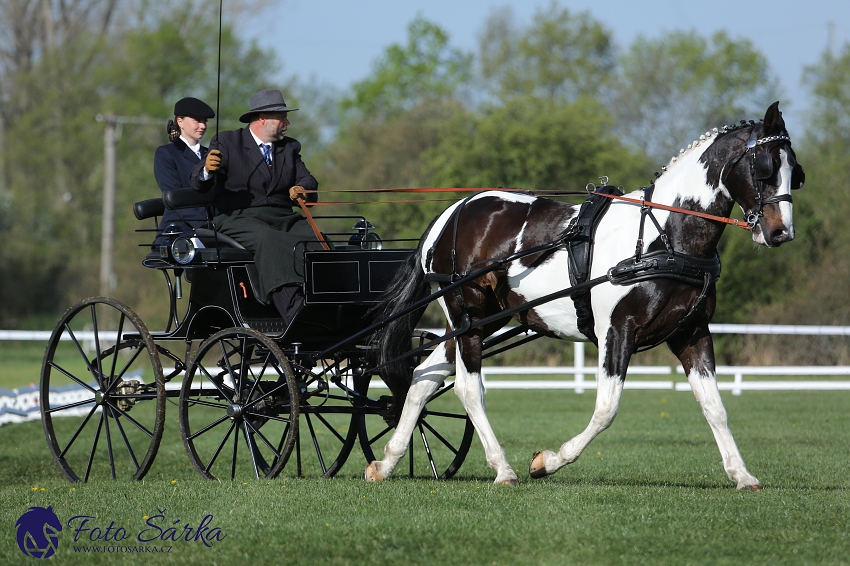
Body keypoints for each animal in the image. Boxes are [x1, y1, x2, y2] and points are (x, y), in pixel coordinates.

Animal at [364, 103, 800, 492]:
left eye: (794, 172)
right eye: (763, 167)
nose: (781, 233)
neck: (664, 236)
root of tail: (453, 212)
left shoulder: (691, 333)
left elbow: (716, 408)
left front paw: (741, 475)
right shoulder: (617, 331)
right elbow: (606, 409)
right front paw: (548, 461)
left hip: (483, 320)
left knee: (422, 378)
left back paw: (386, 463)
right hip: (466, 315)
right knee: (468, 388)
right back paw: (503, 468)